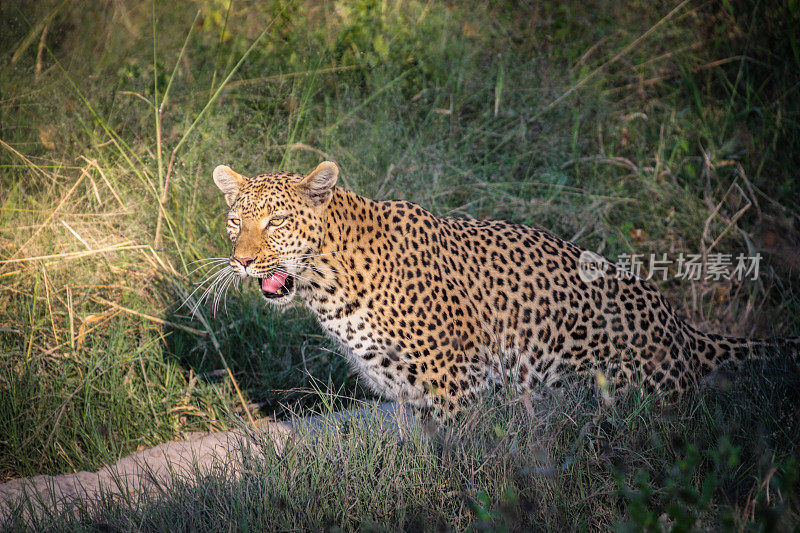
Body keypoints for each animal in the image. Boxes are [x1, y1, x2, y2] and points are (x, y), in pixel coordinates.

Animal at [212, 161, 800, 420]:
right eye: (236, 222)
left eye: (277, 222)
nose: (241, 260)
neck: (328, 281)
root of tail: (683, 328)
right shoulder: (410, 393)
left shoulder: (454, 380)